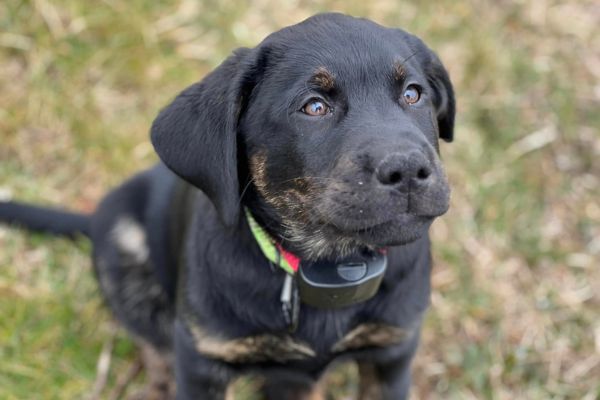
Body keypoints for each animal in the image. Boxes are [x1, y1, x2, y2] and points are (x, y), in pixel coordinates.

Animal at [0, 12, 454, 400]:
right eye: (314, 106)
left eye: (413, 94)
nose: (407, 169)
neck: (328, 266)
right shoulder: (204, 359)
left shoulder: (391, 351)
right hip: (121, 236)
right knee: (153, 341)